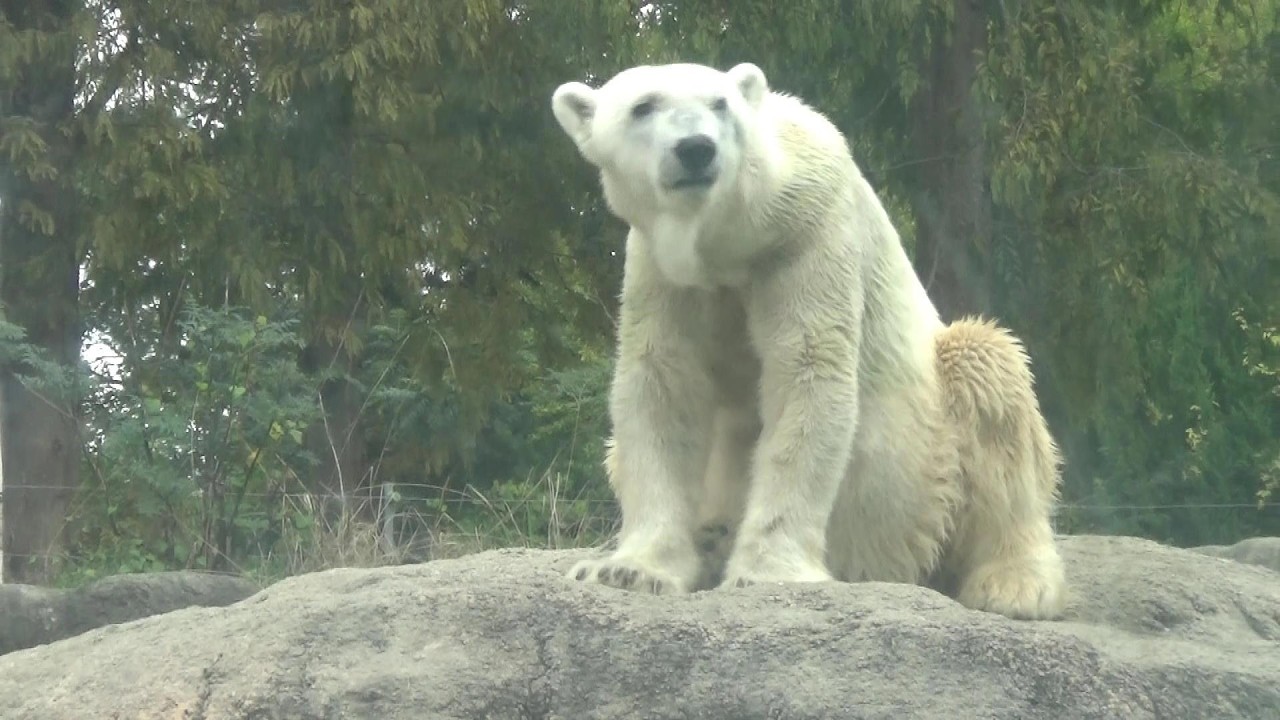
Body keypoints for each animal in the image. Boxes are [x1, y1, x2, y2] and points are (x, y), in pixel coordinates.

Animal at [550, 61, 1066, 620]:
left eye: (720, 104)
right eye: (643, 106)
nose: (696, 149)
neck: (728, 236)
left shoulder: (806, 233)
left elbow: (807, 374)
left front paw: (767, 573)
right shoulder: (663, 270)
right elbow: (662, 384)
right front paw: (628, 570)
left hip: (929, 474)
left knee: (989, 374)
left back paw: (1015, 584)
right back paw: (711, 537)